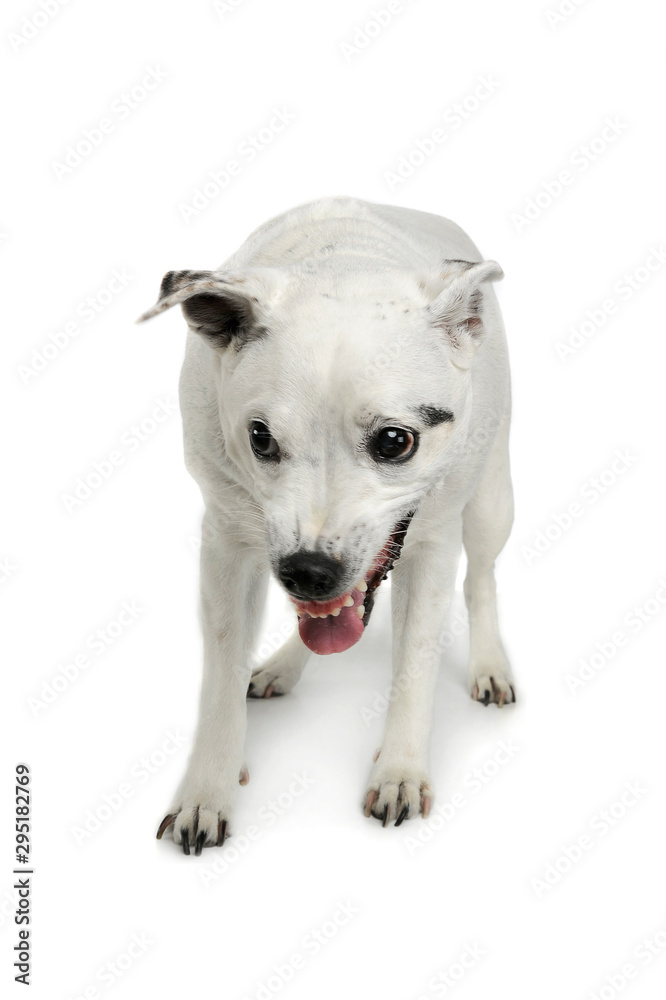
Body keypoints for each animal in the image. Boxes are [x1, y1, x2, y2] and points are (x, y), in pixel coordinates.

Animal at [139, 197, 512, 860]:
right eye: (260, 437)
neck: (344, 262)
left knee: (483, 576)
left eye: (395, 440)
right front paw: (206, 791)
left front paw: (399, 771)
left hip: (493, 497)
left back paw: (489, 664)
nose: (309, 571)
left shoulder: (432, 546)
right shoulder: (227, 544)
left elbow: (415, 662)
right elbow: (221, 670)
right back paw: (282, 665)